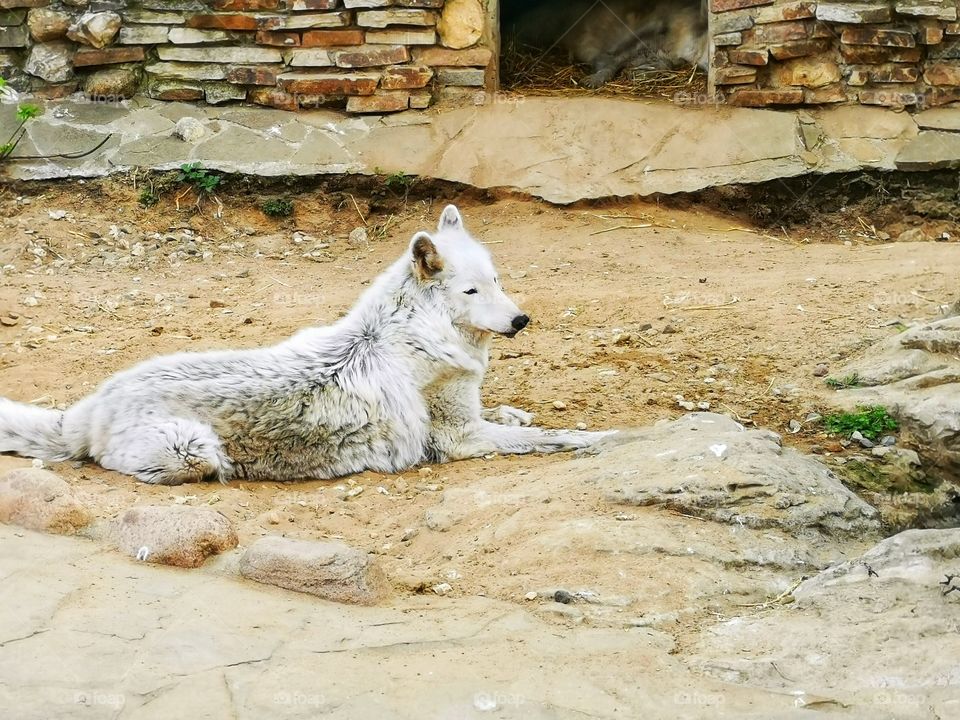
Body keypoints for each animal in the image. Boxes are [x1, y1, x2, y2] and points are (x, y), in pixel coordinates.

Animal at [0, 206, 613, 486]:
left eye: (497, 281)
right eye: (471, 291)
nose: (521, 320)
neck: (420, 331)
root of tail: (88, 409)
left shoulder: (471, 412)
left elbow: (515, 416)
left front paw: (522, 411)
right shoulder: (460, 438)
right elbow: (555, 437)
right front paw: (608, 437)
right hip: (193, 450)